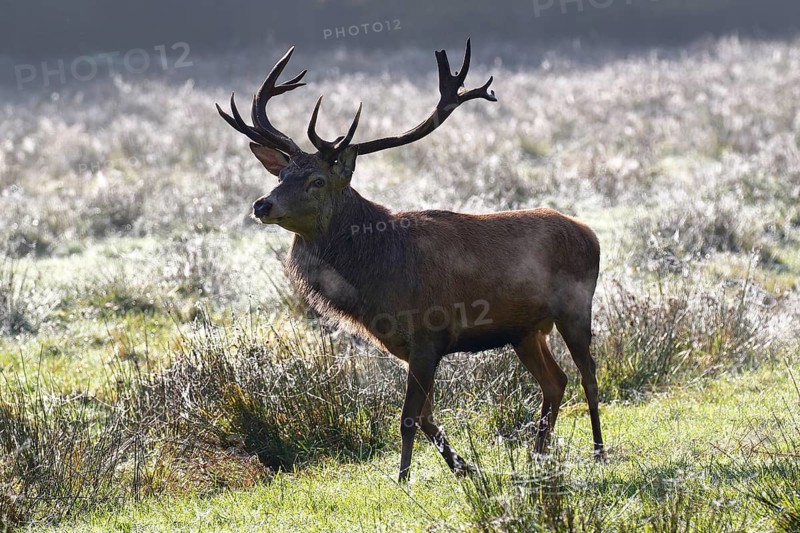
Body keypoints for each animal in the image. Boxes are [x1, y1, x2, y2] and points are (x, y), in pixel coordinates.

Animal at [217, 40, 604, 482]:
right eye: (281, 177)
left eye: (316, 181)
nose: (262, 204)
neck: (376, 276)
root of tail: (590, 233)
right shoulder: (402, 345)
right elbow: (425, 416)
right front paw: (465, 469)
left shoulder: (429, 333)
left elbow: (407, 417)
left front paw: (403, 479)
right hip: (524, 331)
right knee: (555, 381)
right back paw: (536, 456)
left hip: (575, 305)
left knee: (589, 375)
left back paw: (598, 452)